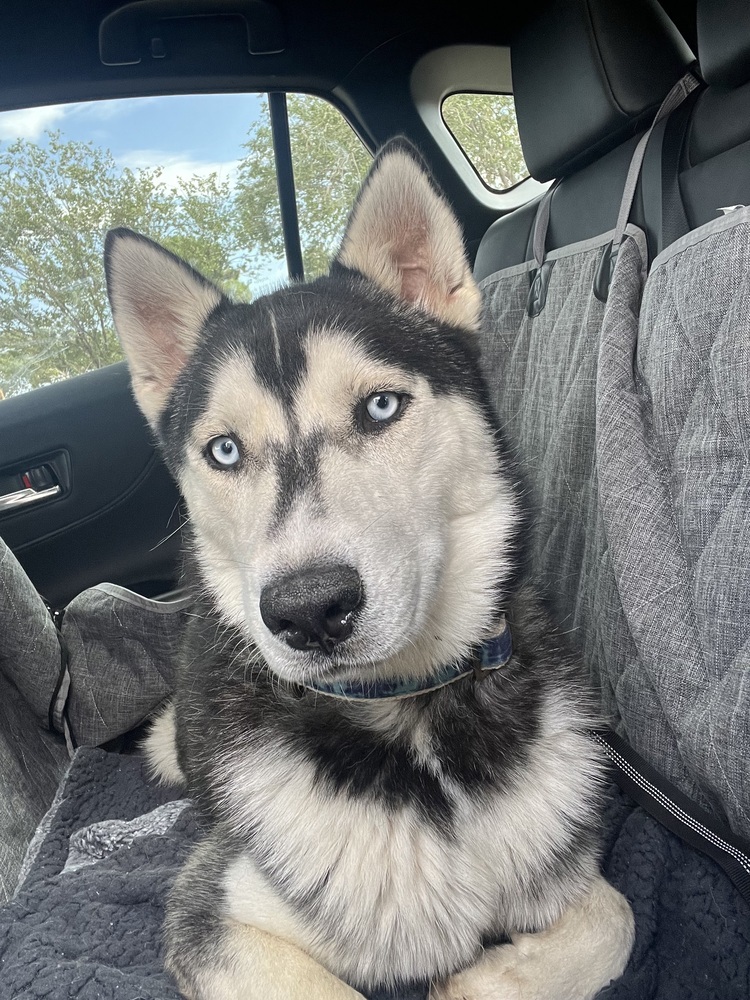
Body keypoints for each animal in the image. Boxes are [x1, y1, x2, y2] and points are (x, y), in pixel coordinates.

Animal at [104, 141, 636, 1000]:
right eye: (225, 450)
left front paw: (480, 981)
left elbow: (614, 918)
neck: (409, 713)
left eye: (380, 407)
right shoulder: (215, 911)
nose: (308, 610)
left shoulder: (561, 851)